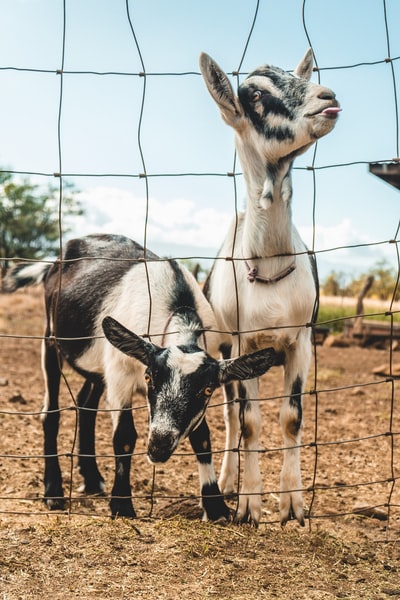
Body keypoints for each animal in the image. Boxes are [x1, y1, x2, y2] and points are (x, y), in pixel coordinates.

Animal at [3, 234, 278, 520]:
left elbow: (201, 436)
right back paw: (53, 491)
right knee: (51, 412)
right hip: (51, 339)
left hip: (97, 366)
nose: (159, 444)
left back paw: (92, 480)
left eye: (206, 390)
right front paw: (122, 504)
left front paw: (215, 506)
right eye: (149, 378)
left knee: (86, 406)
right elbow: (124, 436)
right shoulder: (120, 376)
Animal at [200, 49, 340, 524]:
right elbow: (249, 422)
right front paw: (248, 505)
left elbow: (291, 418)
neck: (272, 265)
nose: (327, 97)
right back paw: (227, 481)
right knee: (229, 416)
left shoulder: (301, 341)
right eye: (256, 94)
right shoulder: (246, 345)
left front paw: (292, 504)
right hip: (221, 349)